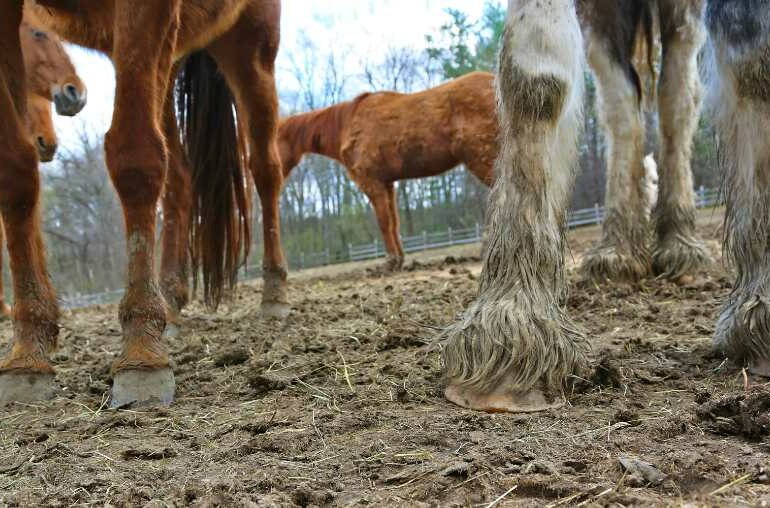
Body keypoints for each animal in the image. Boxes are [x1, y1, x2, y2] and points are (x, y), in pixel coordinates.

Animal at [0, 0, 286, 407]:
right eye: (39, 33)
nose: (73, 93)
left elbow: (135, 156)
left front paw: (141, 354)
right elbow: (14, 171)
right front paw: (27, 353)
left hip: (250, 49)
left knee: (265, 169)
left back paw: (274, 292)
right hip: (170, 58)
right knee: (180, 178)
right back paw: (171, 300)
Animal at [277, 71, 497, 270]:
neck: (347, 124)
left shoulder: (372, 182)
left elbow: (383, 222)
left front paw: (390, 261)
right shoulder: (388, 183)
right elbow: (393, 223)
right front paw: (399, 259)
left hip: (482, 159)